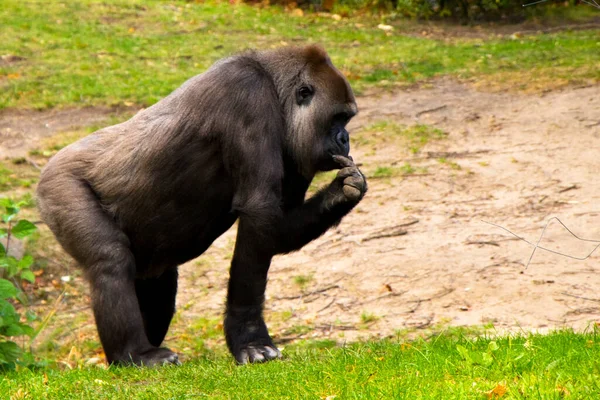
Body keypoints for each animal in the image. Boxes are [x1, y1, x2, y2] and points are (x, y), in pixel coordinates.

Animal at [37, 44, 368, 366]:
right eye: (337, 118)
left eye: (347, 120)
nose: (345, 139)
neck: (276, 88)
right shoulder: (247, 94)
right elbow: (259, 214)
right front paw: (249, 337)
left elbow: (279, 229)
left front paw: (342, 192)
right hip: (58, 186)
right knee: (110, 259)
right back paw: (134, 354)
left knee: (157, 280)